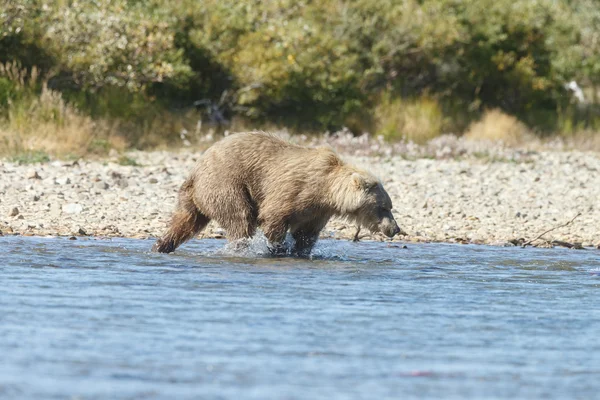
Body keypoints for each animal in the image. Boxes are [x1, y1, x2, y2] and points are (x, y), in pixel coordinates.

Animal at [151, 132, 404, 256]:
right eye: (384, 207)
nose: (395, 229)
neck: (327, 191)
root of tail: (196, 168)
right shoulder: (296, 190)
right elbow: (274, 216)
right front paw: (277, 249)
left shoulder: (318, 210)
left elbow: (306, 234)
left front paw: (299, 251)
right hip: (226, 182)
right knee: (240, 218)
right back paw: (241, 247)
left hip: (194, 196)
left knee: (185, 222)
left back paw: (161, 245)